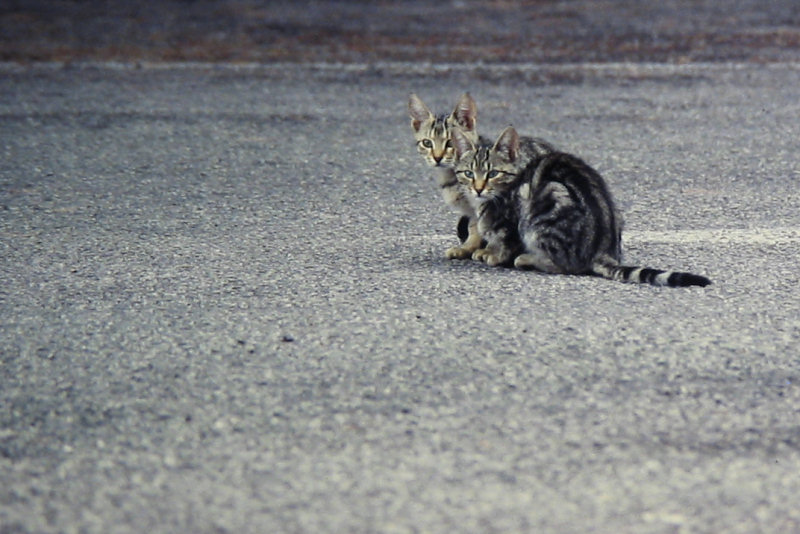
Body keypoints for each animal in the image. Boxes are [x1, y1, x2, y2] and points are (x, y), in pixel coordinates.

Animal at [410, 93, 484, 260]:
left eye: (451, 143)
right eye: (427, 143)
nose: (437, 157)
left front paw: (472, 248)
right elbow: (473, 226)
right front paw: (467, 248)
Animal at [454, 126, 708, 288]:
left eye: (493, 174)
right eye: (468, 173)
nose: (478, 188)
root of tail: (602, 249)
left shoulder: (514, 215)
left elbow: (506, 241)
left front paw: (493, 254)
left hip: (545, 207)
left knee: (564, 265)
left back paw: (528, 259)